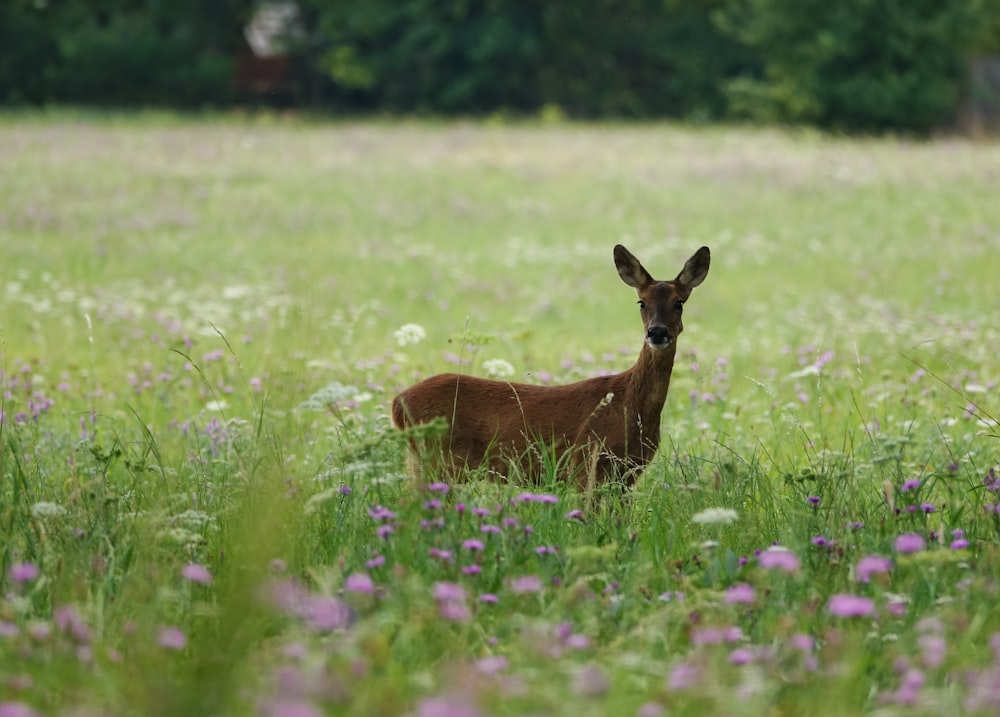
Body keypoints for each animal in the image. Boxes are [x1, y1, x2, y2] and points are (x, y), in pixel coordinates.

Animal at [390, 245, 712, 486]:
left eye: (679, 302)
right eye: (641, 302)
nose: (657, 332)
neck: (630, 407)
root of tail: (397, 402)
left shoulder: (628, 474)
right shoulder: (587, 463)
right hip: (439, 461)